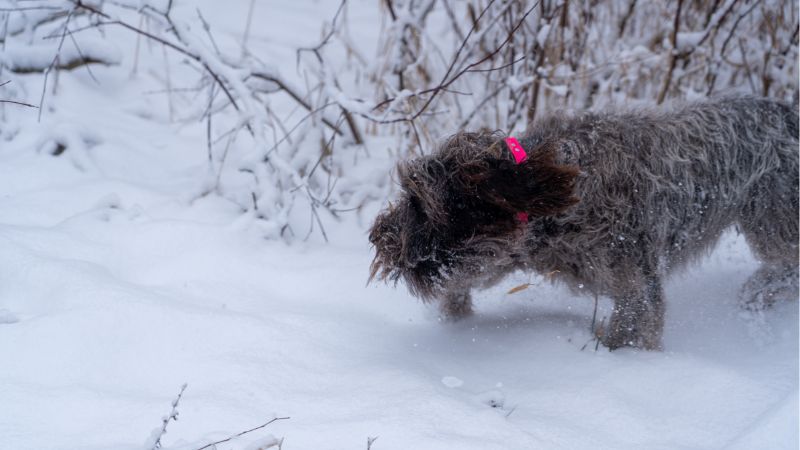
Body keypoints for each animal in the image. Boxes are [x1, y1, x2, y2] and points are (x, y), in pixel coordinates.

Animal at [368, 95, 800, 350]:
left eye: (419, 203)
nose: (376, 237)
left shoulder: (637, 290)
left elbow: (629, 331)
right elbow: (464, 283)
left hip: (773, 222)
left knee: (787, 268)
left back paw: (758, 293)